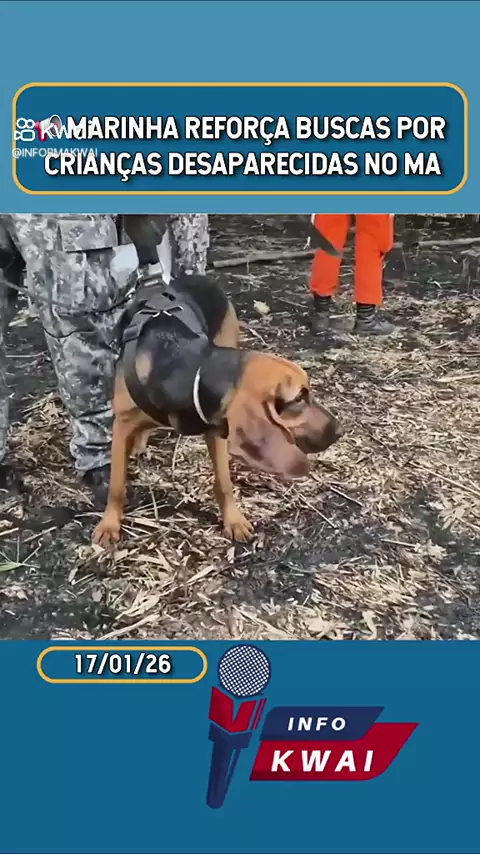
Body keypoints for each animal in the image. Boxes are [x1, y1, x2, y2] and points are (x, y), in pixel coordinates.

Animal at [93, 273, 342, 547]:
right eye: (298, 399)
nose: (340, 430)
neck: (188, 370)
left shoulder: (215, 429)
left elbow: (224, 483)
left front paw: (233, 521)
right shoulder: (121, 426)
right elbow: (116, 486)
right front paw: (109, 524)